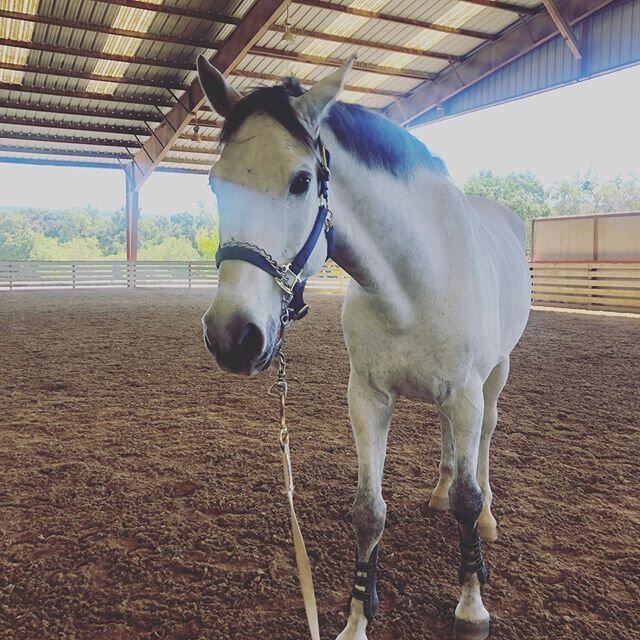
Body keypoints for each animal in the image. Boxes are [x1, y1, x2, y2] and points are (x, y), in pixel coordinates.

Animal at [199, 56, 528, 640]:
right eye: (216, 184)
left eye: (302, 181)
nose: (232, 337)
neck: (413, 281)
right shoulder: (368, 397)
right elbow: (368, 511)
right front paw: (356, 620)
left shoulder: (465, 392)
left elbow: (468, 498)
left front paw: (471, 606)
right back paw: (438, 492)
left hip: (495, 377)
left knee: (485, 442)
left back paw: (487, 520)